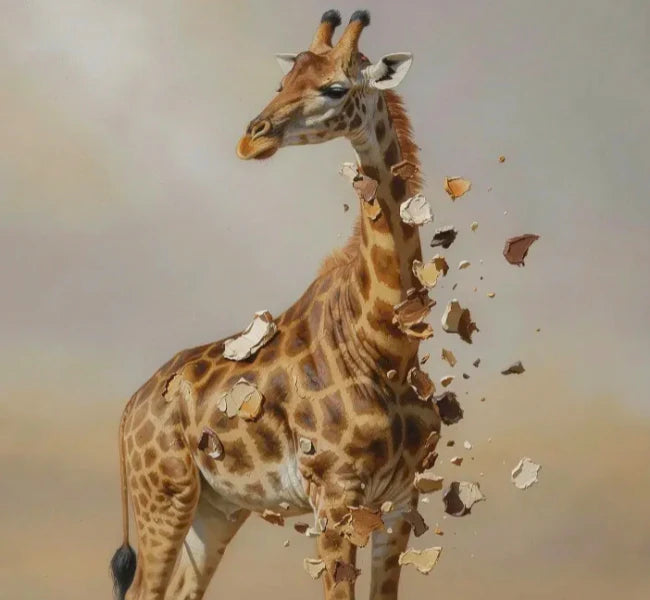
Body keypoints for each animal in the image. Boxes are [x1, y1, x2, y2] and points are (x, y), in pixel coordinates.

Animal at [110, 9, 442, 600]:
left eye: (335, 88)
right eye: (283, 81)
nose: (251, 139)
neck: (384, 344)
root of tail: (131, 405)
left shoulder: (402, 500)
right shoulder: (335, 495)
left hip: (216, 506)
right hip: (164, 494)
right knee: (148, 588)